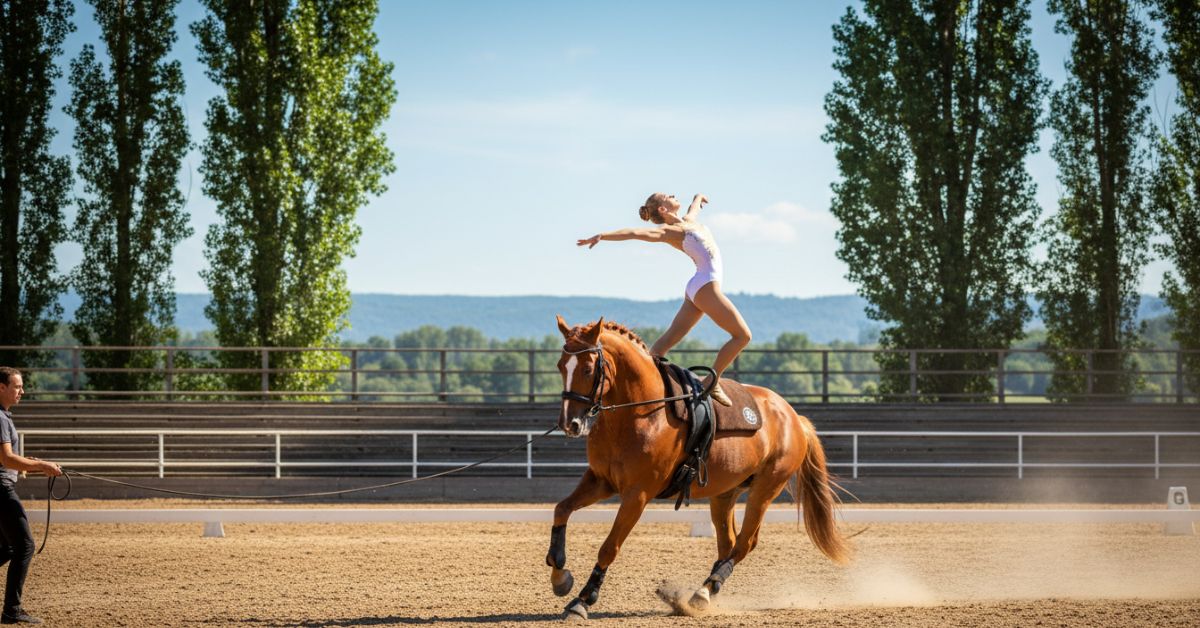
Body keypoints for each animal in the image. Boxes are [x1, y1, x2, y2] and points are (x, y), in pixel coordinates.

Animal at [545, 316, 850, 619]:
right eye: (560, 365)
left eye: (587, 369)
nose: (570, 424)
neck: (640, 414)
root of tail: (794, 417)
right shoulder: (600, 480)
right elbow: (561, 509)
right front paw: (560, 577)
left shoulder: (637, 494)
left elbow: (609, 547)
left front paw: (582, 600)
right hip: (725, 493)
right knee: (728, 543)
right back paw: (706, 591)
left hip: (766, 489)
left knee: (744, 543)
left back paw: (702, 592)